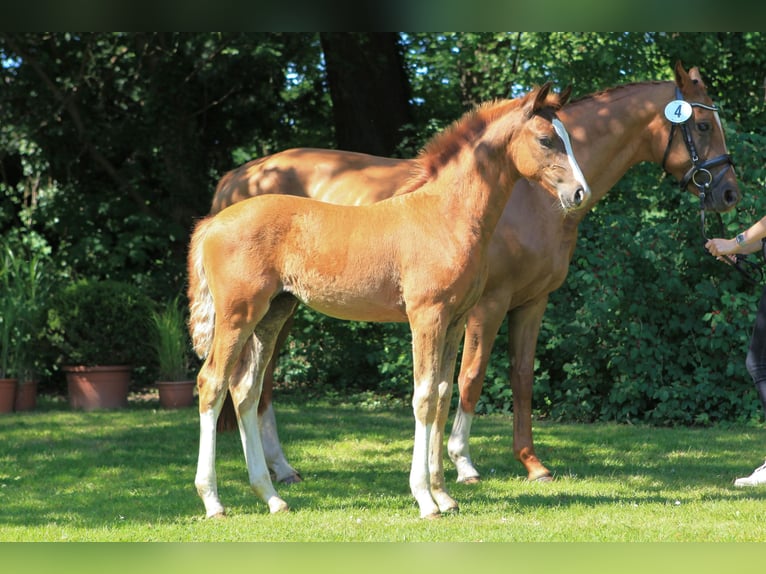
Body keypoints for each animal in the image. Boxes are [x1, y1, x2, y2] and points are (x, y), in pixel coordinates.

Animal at [189, 83, 592, 520]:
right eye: (546, 139)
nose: (580, 193)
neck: (446, 216)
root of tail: (213, 222)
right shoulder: (427, 317)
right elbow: (423, 398)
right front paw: (425, 499)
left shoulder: (454, 320)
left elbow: (443, 395)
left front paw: (444, 495)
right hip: (238, 315)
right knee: (212, 383)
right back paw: (213, 501)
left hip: (272, 313)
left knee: (245, 388)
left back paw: (272, 496)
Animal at [208, 63, 736, 486]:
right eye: (703, 124)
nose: (729, 191)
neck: (529, 198)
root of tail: (238, 177)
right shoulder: (488, 304)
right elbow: (470, 377)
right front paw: (461, 464)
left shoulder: (532, 302)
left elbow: (520, 377)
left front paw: (531, 464)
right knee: (258, 384)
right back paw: (277, 471)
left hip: (281, 308)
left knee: (255, 382)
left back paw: (278, 472)